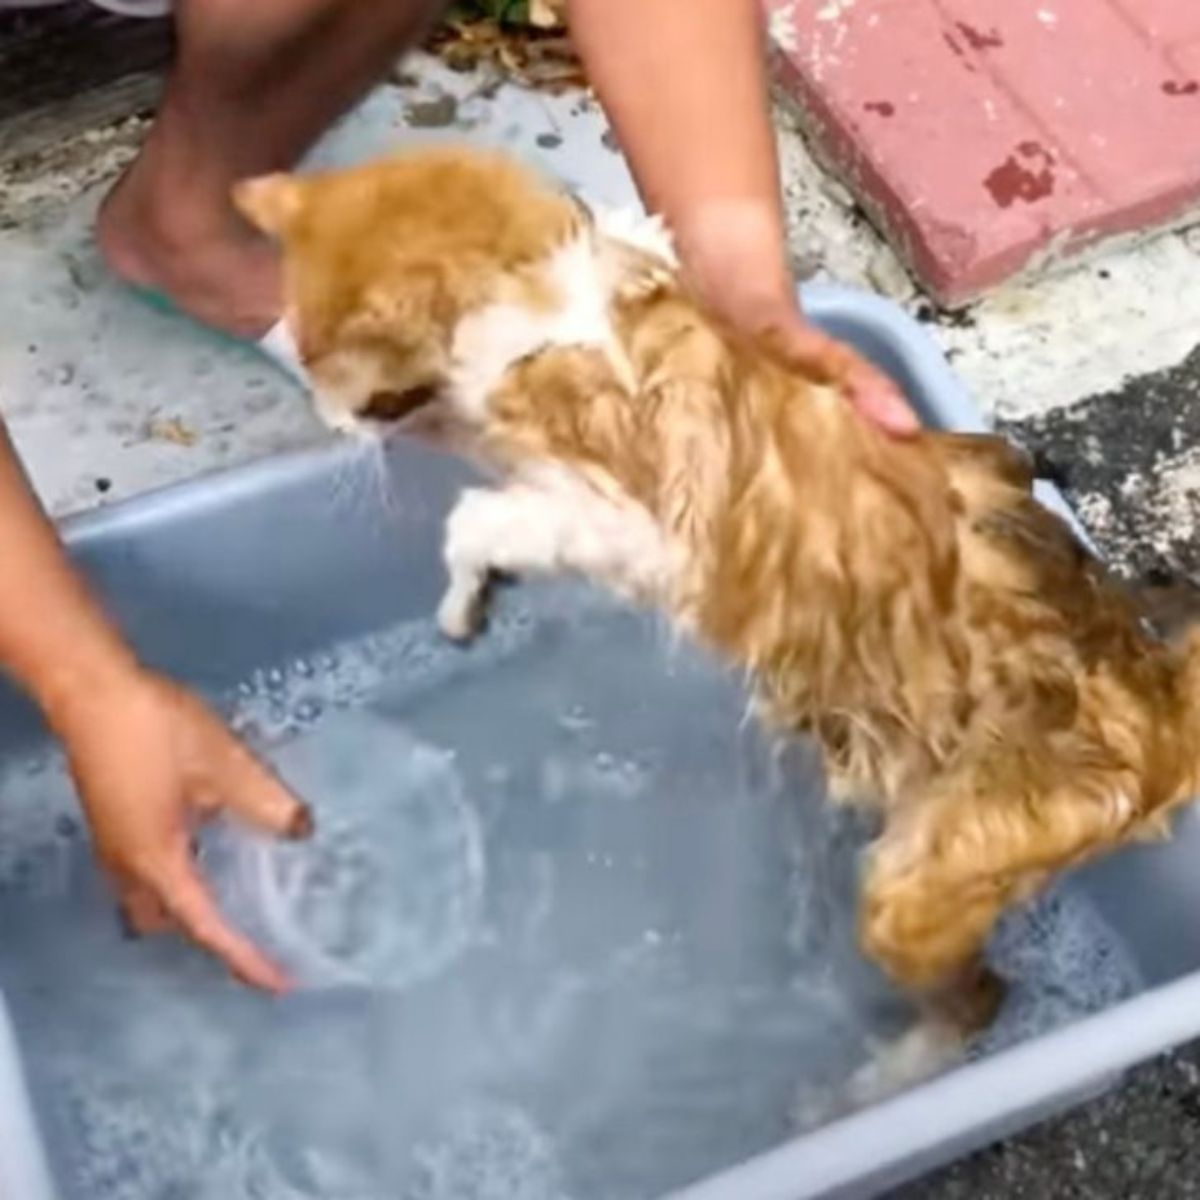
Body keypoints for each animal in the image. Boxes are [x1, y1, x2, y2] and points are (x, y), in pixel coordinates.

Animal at [231, 145, 1200, 1046]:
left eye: (330, 368)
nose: (329, 422)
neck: (541, 299)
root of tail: (1159, 703)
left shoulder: (654, 533)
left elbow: (475, 520)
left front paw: (464, 595)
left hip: (918, 888)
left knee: (977, 1002)